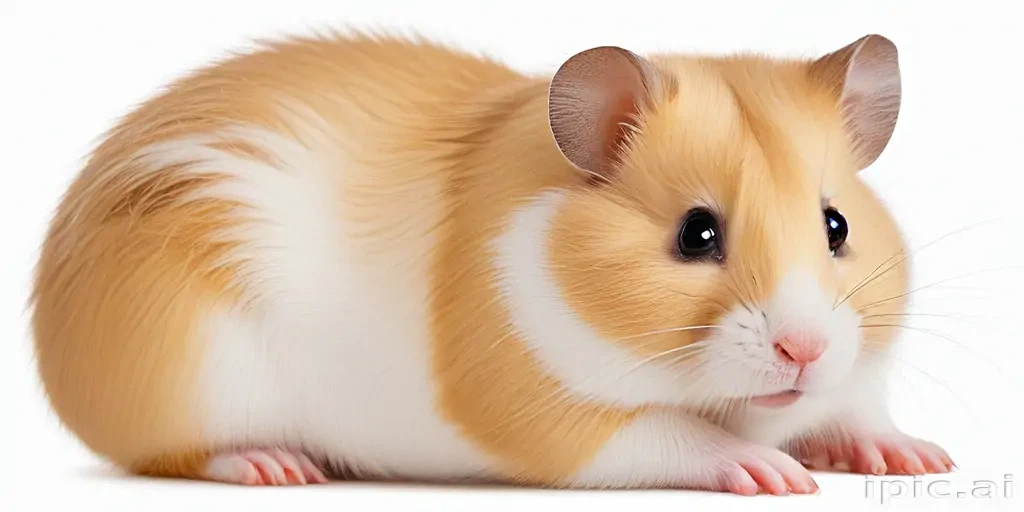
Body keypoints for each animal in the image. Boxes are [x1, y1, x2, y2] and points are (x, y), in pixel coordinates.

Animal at [30, 31, 953, 494]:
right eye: (695, 235)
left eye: (836, 225)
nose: (804, 351)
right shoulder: (536, 411)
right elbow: (671, 436)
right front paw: (777, 473)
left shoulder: (851, 378)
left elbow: (861, 407)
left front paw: (923, 458)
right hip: (190, 377)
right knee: (170, 453)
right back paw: (276, 468)